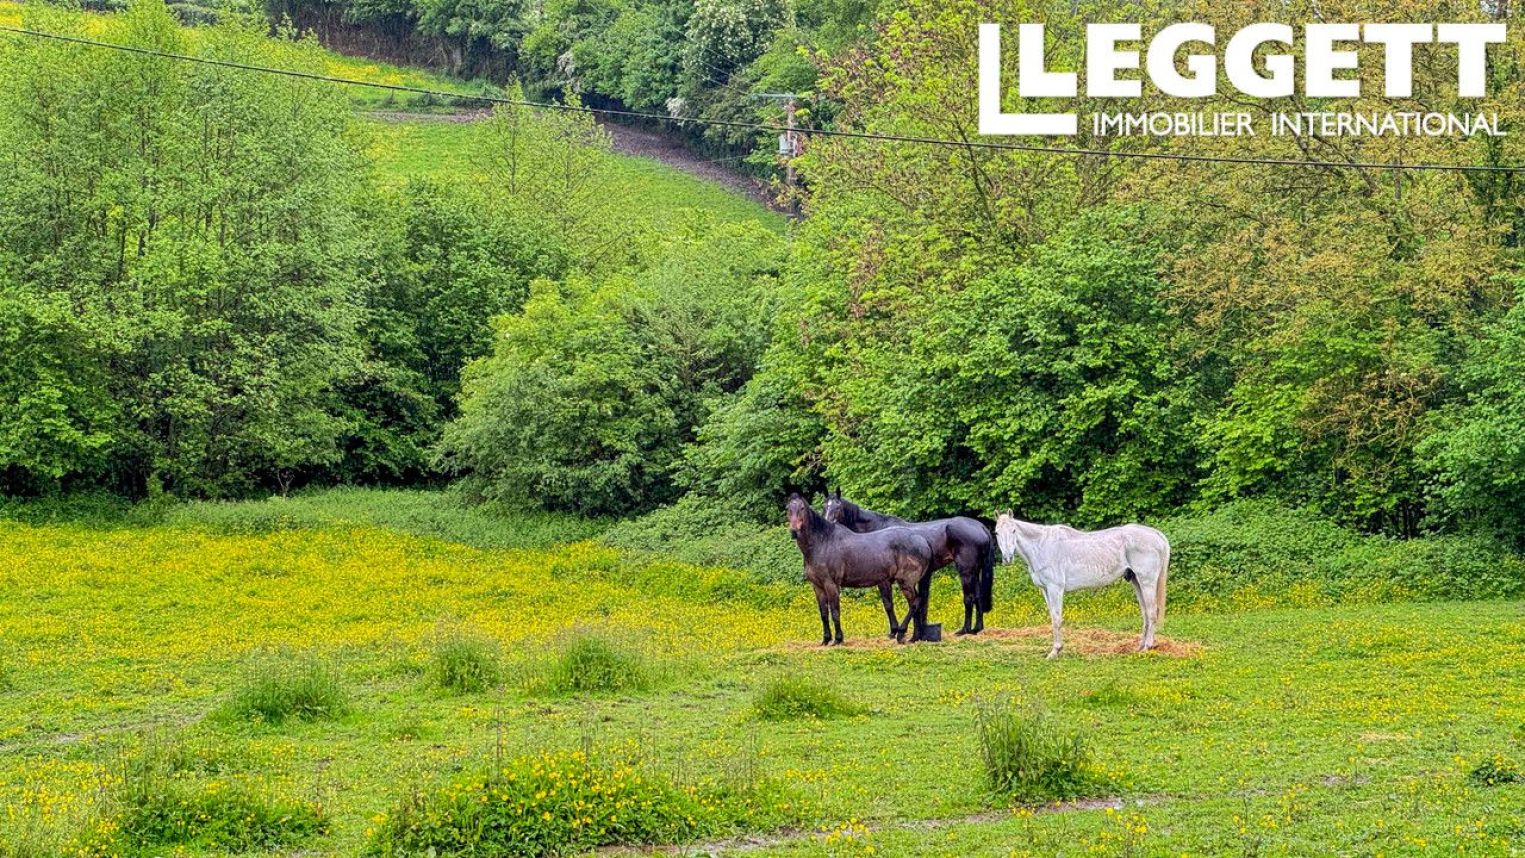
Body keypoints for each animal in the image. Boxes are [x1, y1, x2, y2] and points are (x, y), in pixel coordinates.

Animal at [787, 494, 934, 645]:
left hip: (906, 582)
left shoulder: (831, 585)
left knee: (915, 603)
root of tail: (923, 541)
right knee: (917, 603)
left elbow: (835, 612)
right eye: (788, 508)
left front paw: (838, 639)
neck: (823, 543)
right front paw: (826, 640)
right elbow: (824, 614)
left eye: (802, 508)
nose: (794, 531)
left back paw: (901, 633)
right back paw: (914, 637)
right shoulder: (817, 586)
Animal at [822, 494, 995, 636]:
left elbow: (888, 604)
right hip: (975, 571)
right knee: (978, 596)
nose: (827, 522)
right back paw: (976, 629)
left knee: (969, 598)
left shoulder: (884, 581)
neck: (877, 529)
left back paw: (964, 630)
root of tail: (981, 527)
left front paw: (894, 630)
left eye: (837, 507)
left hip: (966, 571)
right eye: (825, 506)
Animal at [993, 513, 1170, 659]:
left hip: (1147, 582)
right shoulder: (1045, 590)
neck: (1042, 546)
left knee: (1152, 612)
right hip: (1136, 581)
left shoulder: (1055, 589)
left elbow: (1057, 618)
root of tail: (1157, 535)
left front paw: (1055, 651)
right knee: (1145, 614)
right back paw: (1140, 647)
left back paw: (1147, 647)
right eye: (996, 533)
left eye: (1014, 531)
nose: (1007, 558)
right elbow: (1052, 617)